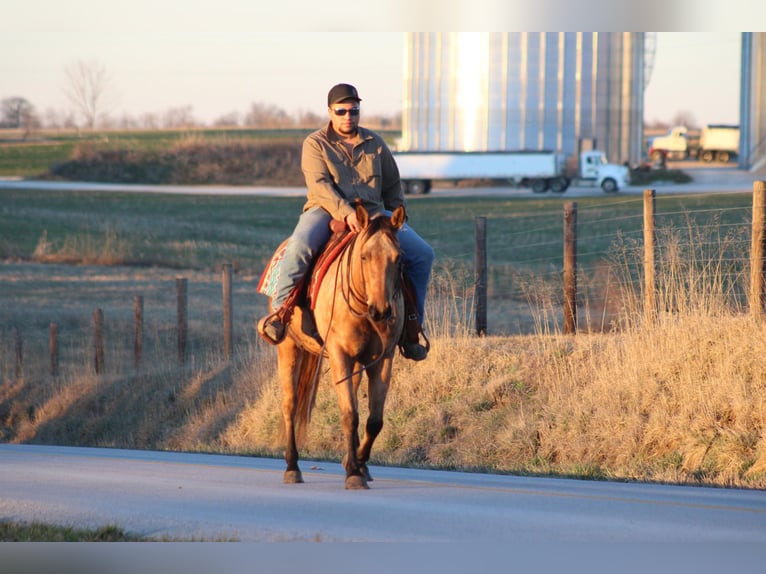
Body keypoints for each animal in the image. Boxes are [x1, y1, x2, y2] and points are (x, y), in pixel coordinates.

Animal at [272, 204, 408, 490]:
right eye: (365, 256)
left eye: (398, 258)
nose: (381, 310)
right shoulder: (339, 354)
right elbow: (349, 415)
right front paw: (354, 473)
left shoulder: (383, 359)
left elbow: (373, 420)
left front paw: (359, 464)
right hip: (288, 347)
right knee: (290, 404)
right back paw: (292, 467)